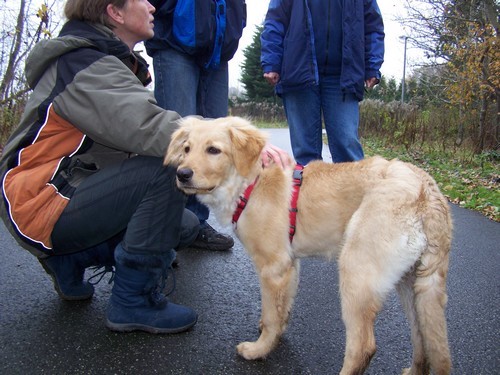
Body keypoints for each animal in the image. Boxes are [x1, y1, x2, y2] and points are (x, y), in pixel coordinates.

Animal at [165, 117, 454, 375]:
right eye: (187, 149)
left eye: (213, 150)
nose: (182, 174)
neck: (251, 181)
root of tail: (427, 192)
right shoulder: (290, 265)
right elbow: (282, 309)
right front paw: (276, 334)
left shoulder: (273, 268)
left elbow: (270, 316)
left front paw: (259, 350)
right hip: (412, 286)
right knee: (424, 342)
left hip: (356, 273)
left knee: (363, 347)